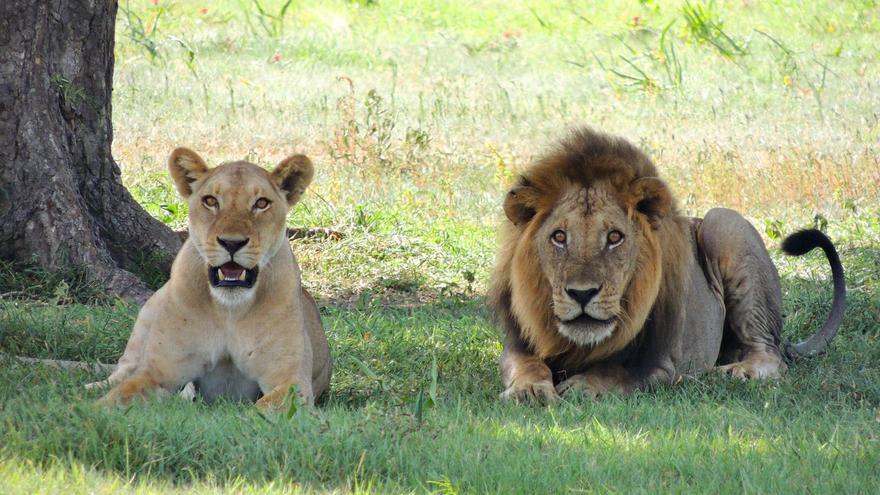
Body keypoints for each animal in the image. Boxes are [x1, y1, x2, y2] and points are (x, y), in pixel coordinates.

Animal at [96, 148, 330, 410]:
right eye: (210, 201)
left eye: (261, 203)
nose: (232, 243)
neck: (229, 310)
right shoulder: (157, 372)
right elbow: (114, 398)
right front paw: (87, 410)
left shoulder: (291, 382)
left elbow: (261, 410)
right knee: (120, 371)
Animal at [488, 128, 844, 404]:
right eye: (559, 237)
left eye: (614, 237)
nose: (582, 294)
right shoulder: (517, 345)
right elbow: (526, 365)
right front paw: (529, 390)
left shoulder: (663, 362)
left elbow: (618, 372)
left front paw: (583, 386)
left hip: (724, 223)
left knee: (771, 356)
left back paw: (730, 373)